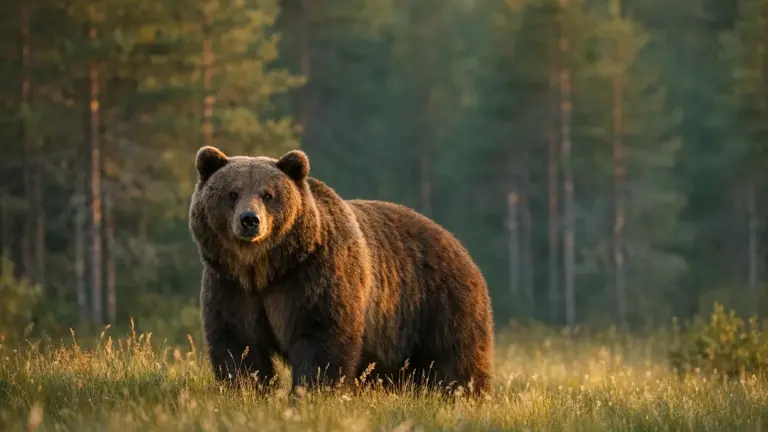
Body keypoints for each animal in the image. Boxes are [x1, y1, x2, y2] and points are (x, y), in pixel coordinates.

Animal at [188, 146, 494, 396]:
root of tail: (458, 244)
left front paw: (310, 392)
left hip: (437, 303)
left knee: (454, 357)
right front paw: (246, 389)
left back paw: (463, 393)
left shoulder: (312, 278)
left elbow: (322, 337)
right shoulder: (231, 286)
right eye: (232, 193)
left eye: (268, 195)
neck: (264, 269)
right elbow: (238, 342)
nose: (250, 220)